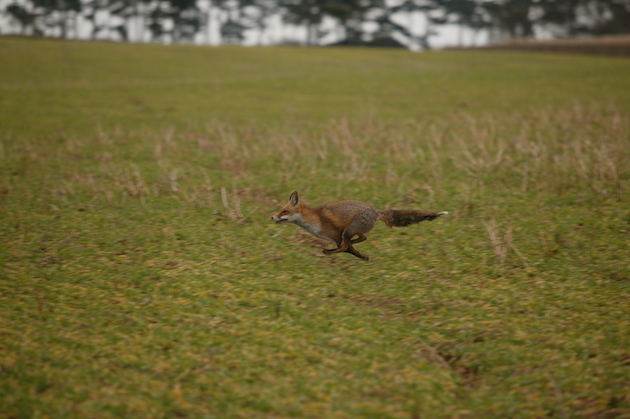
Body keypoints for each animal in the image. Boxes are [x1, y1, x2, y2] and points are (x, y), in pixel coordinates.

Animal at [272, 192, 450, 260]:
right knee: (362, 237)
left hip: (349, 229)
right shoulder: (338, 237)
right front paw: (365, 257)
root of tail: (375, 211)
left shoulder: (336, 235)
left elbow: (348, 249)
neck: (315, 219)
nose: (272, 216)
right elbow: (351, 249)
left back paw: (331, 251)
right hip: (353, 230)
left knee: (348, 244)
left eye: (284, 211)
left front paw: (362, 257)